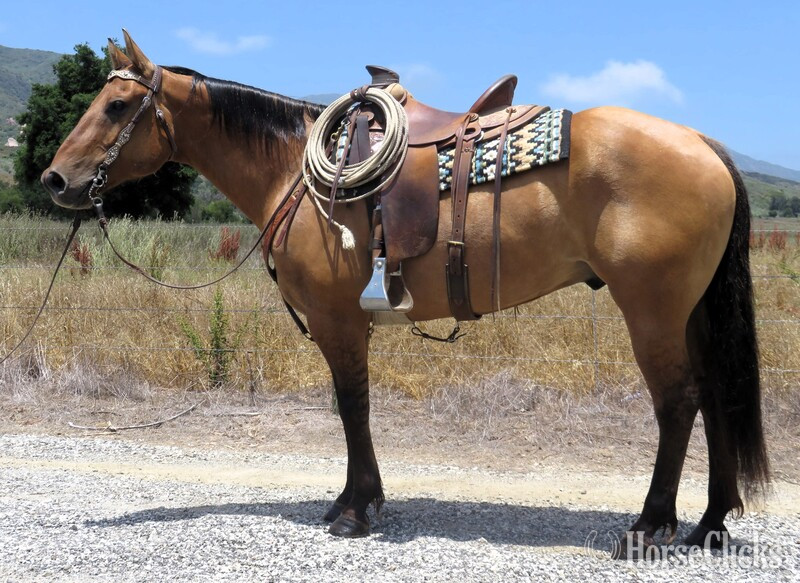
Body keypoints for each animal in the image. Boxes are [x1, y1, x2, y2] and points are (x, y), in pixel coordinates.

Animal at [41, 31, 768, 553]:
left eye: (115, 105)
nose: (54, 179)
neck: (293, 170)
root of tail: (703, 144)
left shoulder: (338, 318)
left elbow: (351, 406)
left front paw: (356, 508)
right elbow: (352, 409)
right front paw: (356, 499)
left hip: (651, 309)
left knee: (678, 402)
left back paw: (650, 524)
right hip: (690, 311)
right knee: (716, 396)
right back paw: (709, 523)